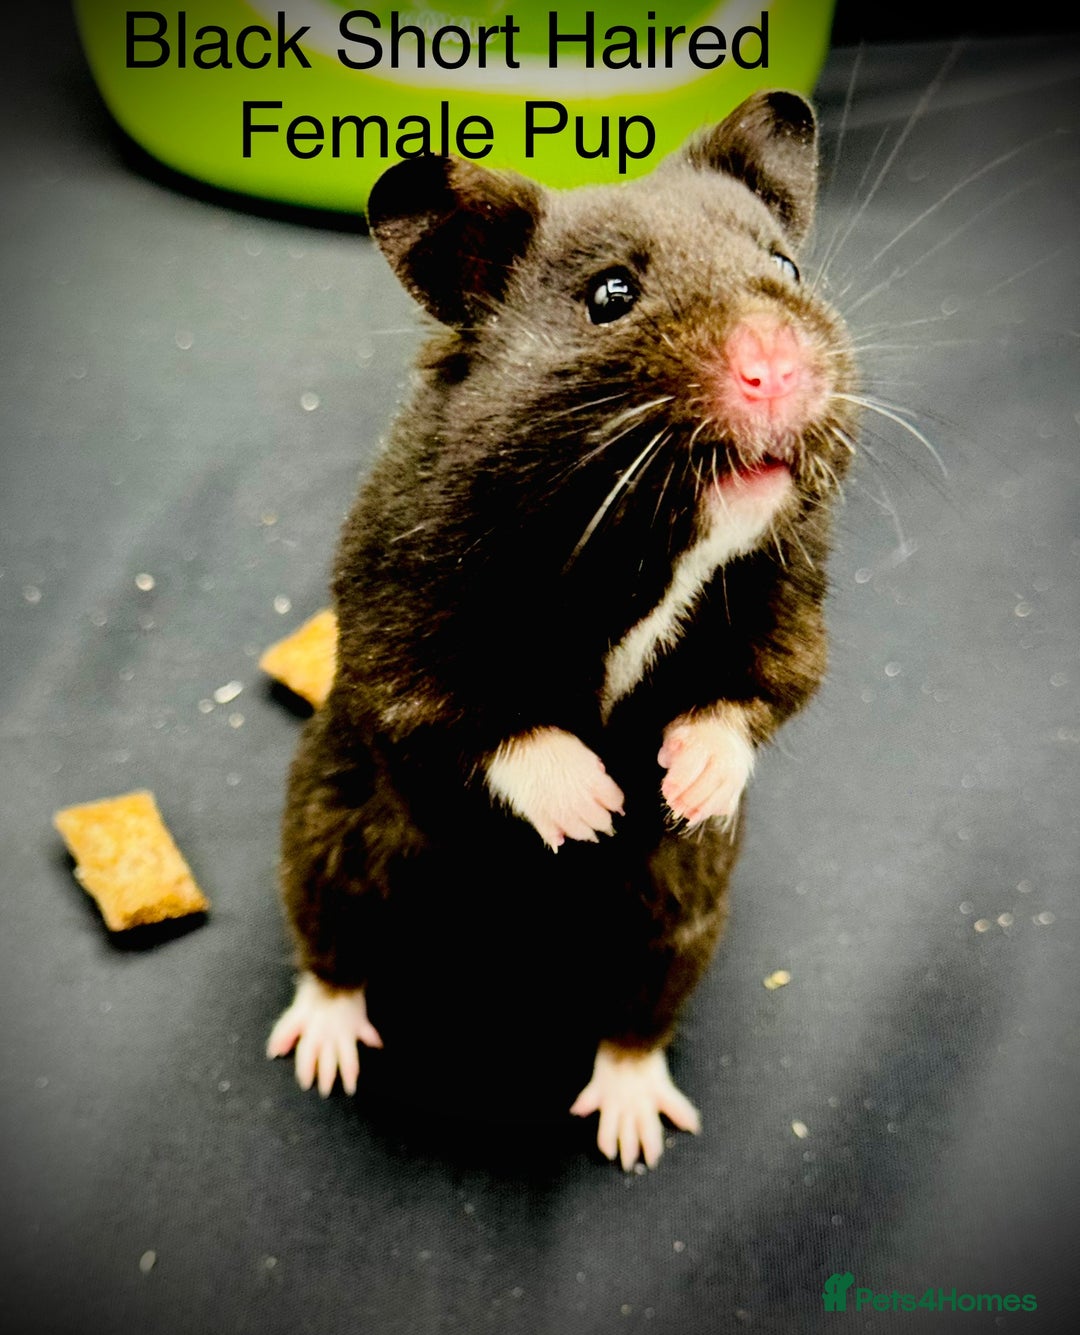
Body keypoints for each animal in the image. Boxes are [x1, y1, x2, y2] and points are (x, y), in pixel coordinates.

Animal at [266, 90, 859, 1170]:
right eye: (612, 294)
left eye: (788, 268)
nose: (779, 370)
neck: (643, 540)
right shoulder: (399, 618)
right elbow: (479, 718)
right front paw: (596, 807)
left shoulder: (790, 597)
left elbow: (762, 689)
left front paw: (680, 785)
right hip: (332, 839)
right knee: (333, 950)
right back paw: (323, 1054)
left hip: (675, 915)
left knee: (633, 1022)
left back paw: (636, 1129)